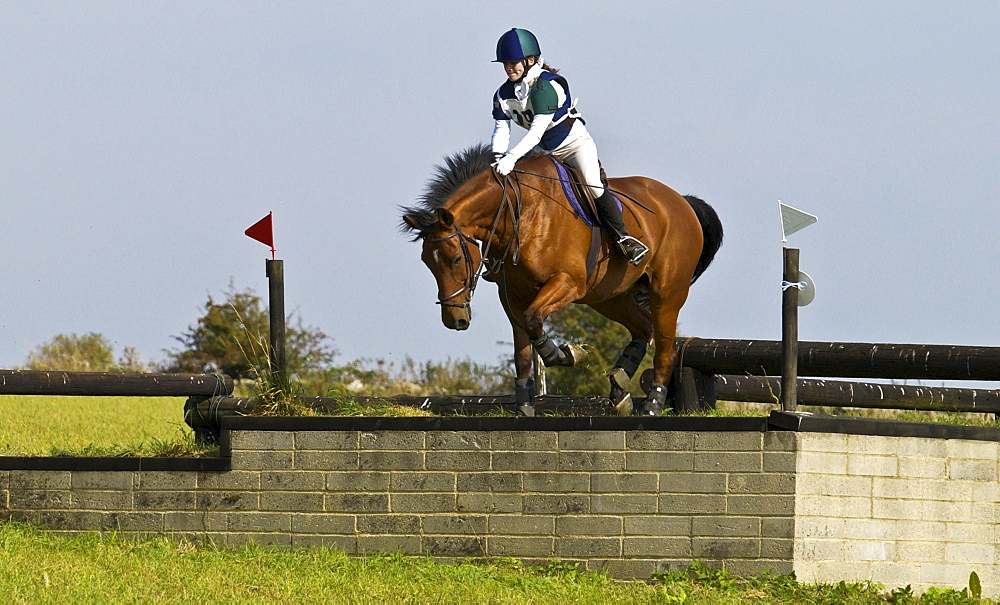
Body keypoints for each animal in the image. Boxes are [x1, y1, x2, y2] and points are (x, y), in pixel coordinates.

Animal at [402, 143, 724, 416]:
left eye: (456, 259)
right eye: (427, 263)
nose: (454, 320)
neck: (517, 213)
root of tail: (682, 202)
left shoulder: (567, 283)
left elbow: (534, 320)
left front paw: (570, 354)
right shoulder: (512, 296)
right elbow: (523, 350)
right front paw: (524, 408)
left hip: (665, 293)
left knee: (666, 348)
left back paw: (651, 404)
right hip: (608, 296)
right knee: (643, 328)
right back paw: (619, 388)